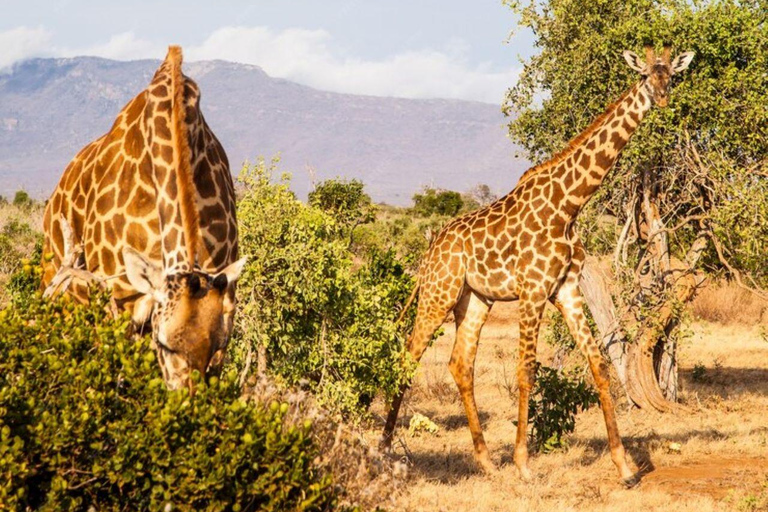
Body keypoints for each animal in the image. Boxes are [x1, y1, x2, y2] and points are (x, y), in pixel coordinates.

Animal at [42, 48, 246, 390]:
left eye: (215, 346)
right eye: (164, 343)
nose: (187, 399)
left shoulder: (225, 303)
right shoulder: (120, 301)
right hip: (59, 285)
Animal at [380, 45, 692, 484]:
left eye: (673, 76)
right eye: (647, 76)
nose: (662, 99)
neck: (568, 204)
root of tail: (431, 249)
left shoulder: (566, 288)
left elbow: (598, 364)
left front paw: (625, 466)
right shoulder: (533, 289)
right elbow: (527, 369)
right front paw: (524, 464)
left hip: (474, 299)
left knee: (461, 363)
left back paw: (485, 461)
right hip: (439, 293)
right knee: (408, 356)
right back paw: (384, 449)